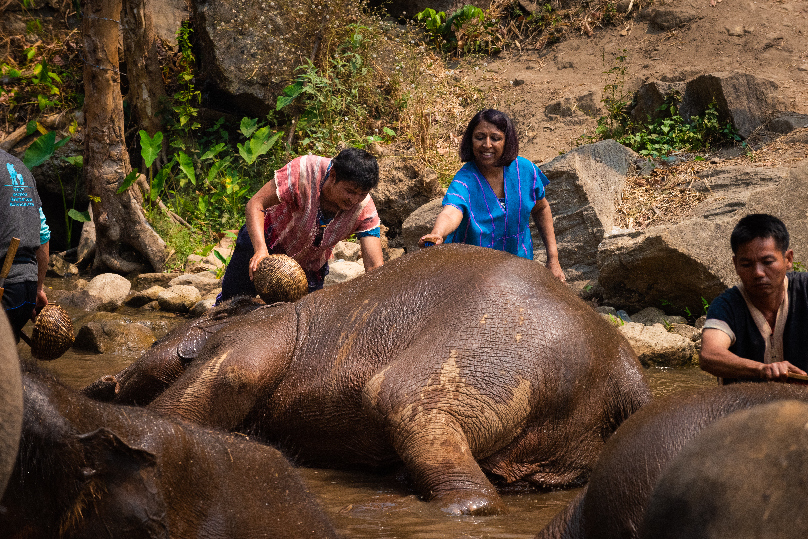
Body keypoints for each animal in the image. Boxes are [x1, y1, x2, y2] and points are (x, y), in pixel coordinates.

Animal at [83, 244, 652, 516]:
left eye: (154, 344)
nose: (102, 382)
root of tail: (629, 376)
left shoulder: (251, 340)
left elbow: (191, 406)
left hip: (487, 351)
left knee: (408, 409)